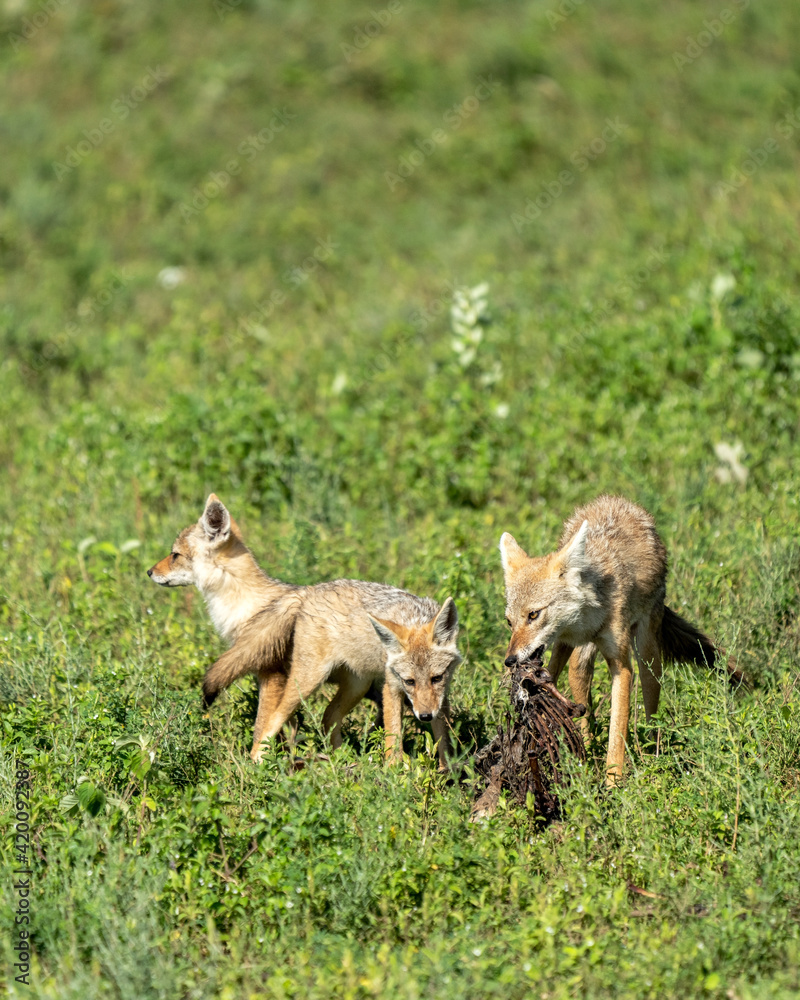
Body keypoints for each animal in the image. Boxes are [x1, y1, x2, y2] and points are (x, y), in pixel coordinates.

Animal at [148, 495, 460, 765]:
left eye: (174, 555)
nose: (149, 572)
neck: (251, 605)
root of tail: (306, 592)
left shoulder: (272, 677)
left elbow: (262, 725)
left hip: (320, 682)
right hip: (342, 684)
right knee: (324, 720)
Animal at [499, 494, 742, 784]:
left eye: (534, 614)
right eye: (509, 622)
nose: (510, 661)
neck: (590, 616)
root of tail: (618, 501)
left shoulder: (622, 666)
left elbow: (618, 729)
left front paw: (613, 783)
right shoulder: (566, 642)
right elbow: (555, 684)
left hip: (646, 652)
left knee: (650, 697)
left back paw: (652, 753)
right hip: (578, 651)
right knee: (577, 676)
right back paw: (587, 746)